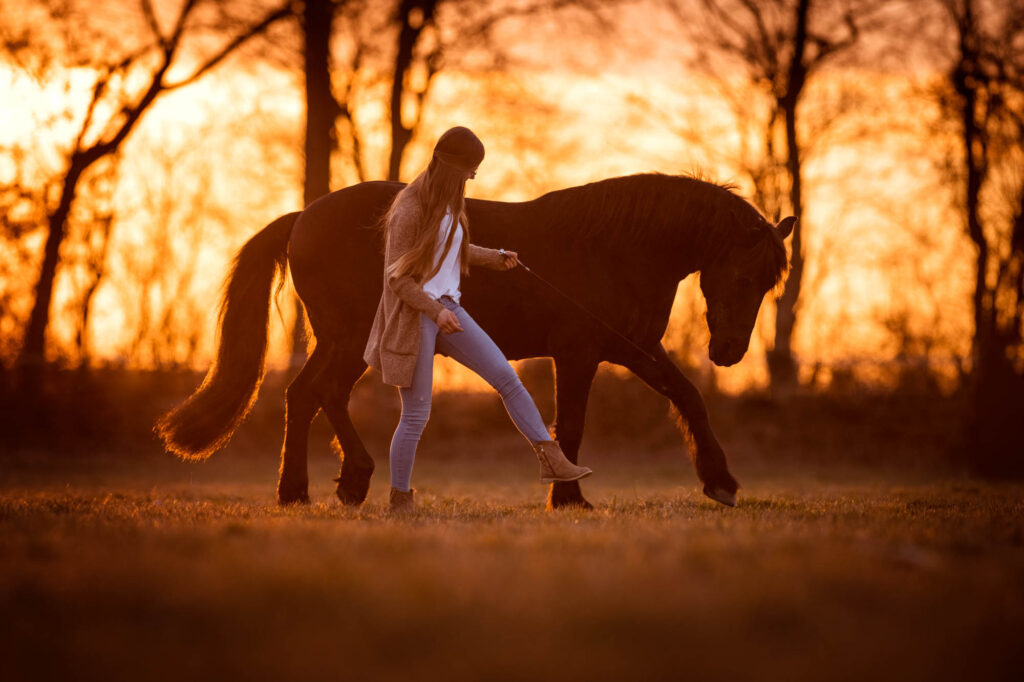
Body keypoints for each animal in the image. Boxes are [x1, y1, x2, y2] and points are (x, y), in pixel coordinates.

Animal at [155, 173, 794, 509]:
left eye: (769, 282)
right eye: (743, 277)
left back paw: (321, 486)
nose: (730, 352)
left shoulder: (633, 347)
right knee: (315, 394)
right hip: (350, 336)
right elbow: (573, 422)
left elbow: (688, 397)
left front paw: (720, 482)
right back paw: (330, 482)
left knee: (310, 395)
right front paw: (570, 497)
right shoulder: (582, 353)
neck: (616, 250)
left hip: (341, 340)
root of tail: (302, 217)